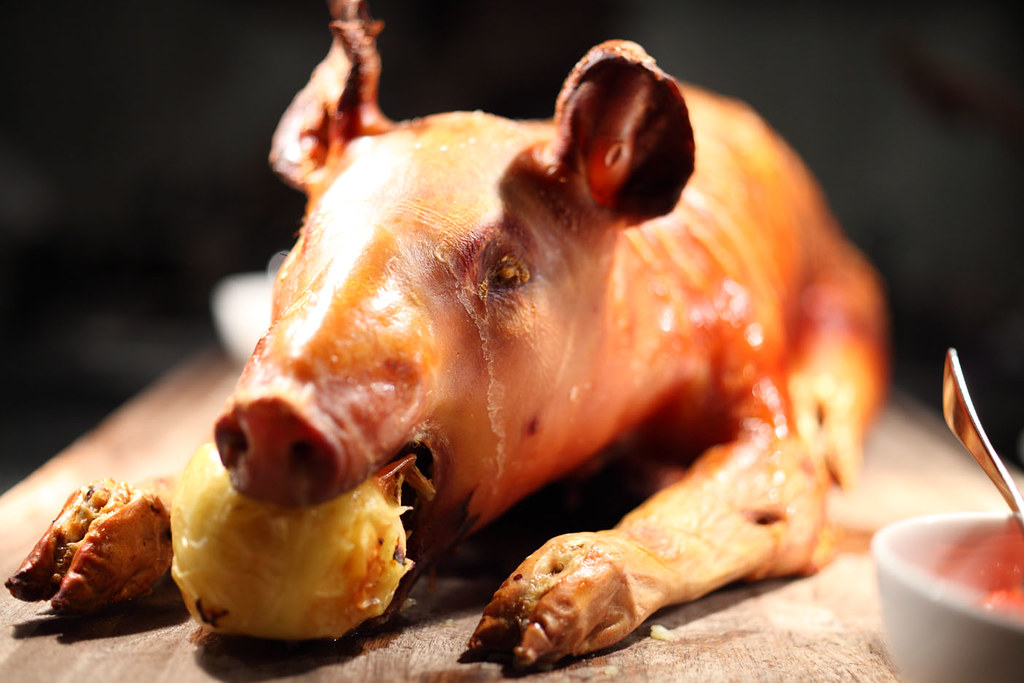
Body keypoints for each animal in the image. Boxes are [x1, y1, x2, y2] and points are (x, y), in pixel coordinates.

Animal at [7, 0, 887, 668]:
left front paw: (510, 629)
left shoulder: (750, 384)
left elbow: (780, 486)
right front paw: (73, 558)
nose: (275, 410)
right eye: (300, 241)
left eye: (508, 269)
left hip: (847, 288)